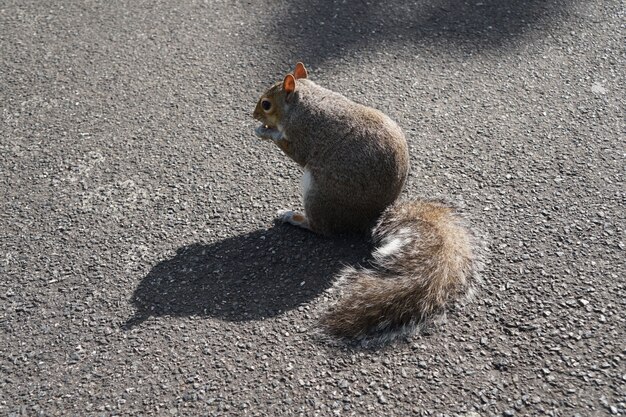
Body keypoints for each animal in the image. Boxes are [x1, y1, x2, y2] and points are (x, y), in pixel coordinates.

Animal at [251, 62, 480, 342]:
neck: (304, 101)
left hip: (318, 193)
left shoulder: (304, 132)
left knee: (321, 228)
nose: (253, 115)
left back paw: (293, 217)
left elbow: (293, 149)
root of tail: (372, 218)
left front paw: (265, 132)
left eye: (266, 104)